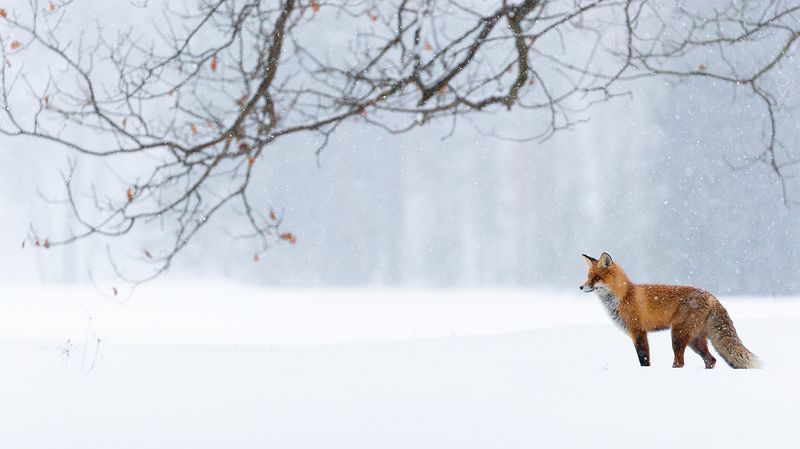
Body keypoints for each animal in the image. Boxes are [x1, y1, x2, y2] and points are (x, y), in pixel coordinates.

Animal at [580, 252, 760, 369]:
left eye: (595, 278)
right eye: (588, 277)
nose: (581, 287)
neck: (624, 296)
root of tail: (711, 296)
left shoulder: (639, 332)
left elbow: (644, 359)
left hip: (678, 336)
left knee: (680, 362)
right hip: (695, 341)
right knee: (711, 360)